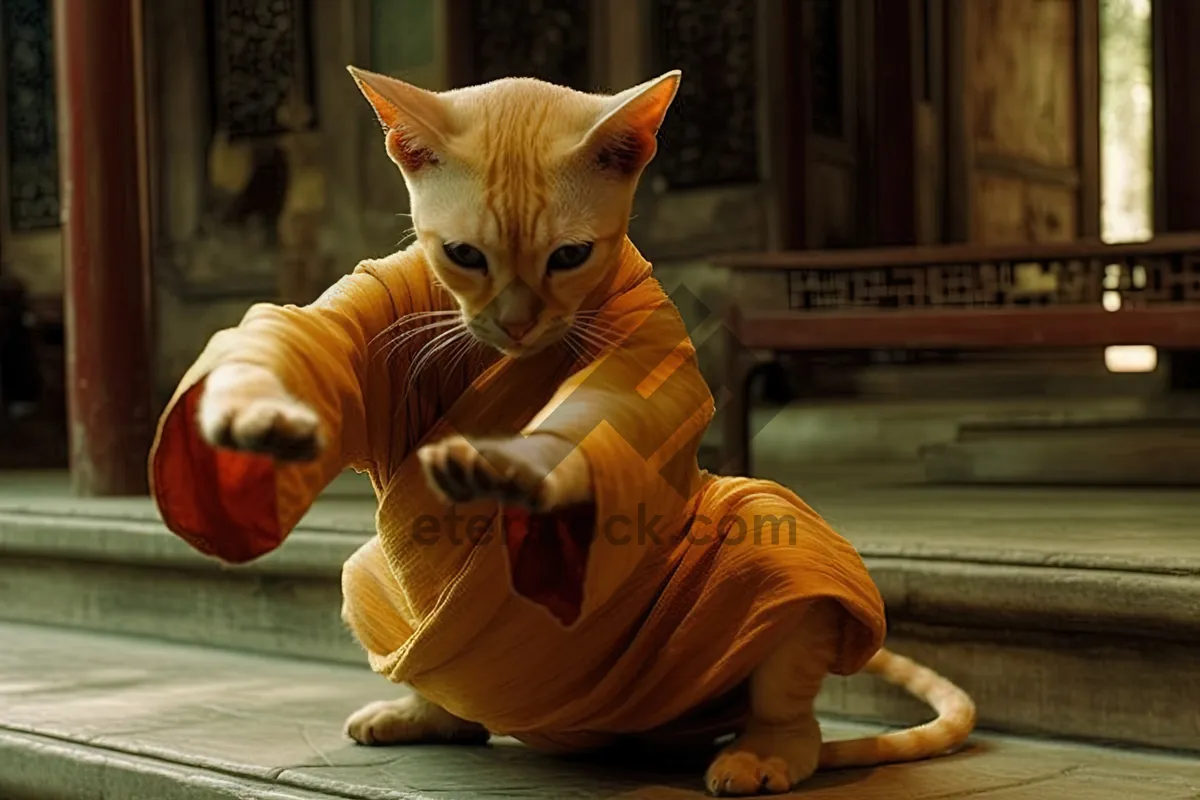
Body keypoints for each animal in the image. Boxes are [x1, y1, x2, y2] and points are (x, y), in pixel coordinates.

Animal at [184, 68, 974, 796]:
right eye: (464, 256)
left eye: (568, 257)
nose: (517, 323)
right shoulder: (380, 299)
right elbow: (302, 336)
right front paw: (250, 410)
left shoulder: (646, 351)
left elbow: (600, 423)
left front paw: (518, 466)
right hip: (371, 577)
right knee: (434, 666)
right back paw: (423, 714)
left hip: (772, 547)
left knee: (790, 672)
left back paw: (765, 753)